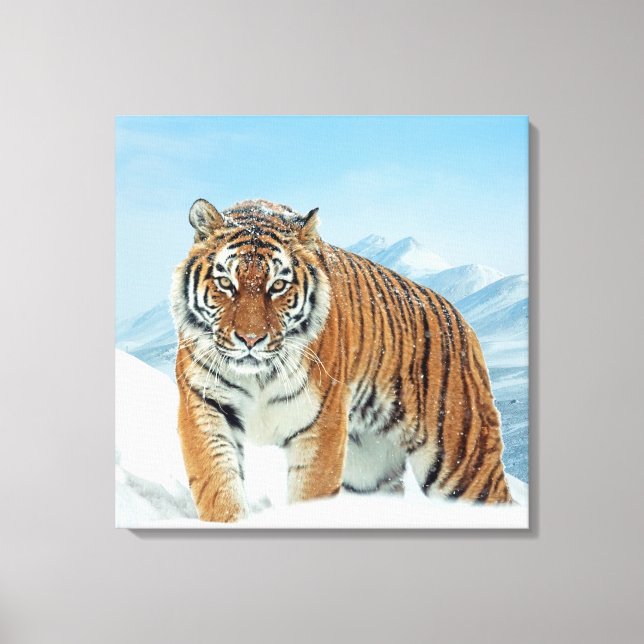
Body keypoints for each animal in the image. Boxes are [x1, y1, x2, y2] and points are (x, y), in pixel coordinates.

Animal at [171, 197, 512, 522]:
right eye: (226, 283)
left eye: (278, 286)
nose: (251, 339)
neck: (258, 376)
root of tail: (462, 320)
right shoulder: (205, 405)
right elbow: (218, 486)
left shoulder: (321, 424)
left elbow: (311, 495)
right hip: (369, 471)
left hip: (463, 462)